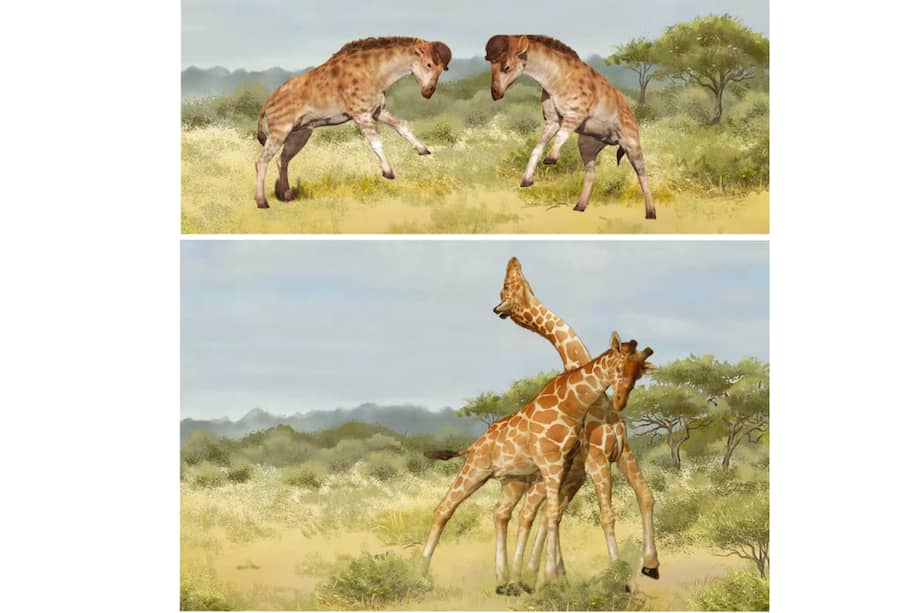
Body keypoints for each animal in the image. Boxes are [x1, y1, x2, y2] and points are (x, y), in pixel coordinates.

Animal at [253, 37, 451, 208]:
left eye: (443, 68)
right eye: (429, 64)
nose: (428, 92)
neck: (375, 73)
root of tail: (267, 104)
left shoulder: (377, 112)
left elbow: (401, 126)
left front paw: (423, 150)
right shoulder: (361, 115)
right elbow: (376, 142)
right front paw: (388, 172)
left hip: (300, 133)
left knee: (282, 160)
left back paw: (287, 196)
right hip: (280, 131)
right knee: (261, 161)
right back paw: (262, 202)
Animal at [420, 330, 655, 584]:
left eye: (639, 373)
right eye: (619, 367)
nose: (620, 401)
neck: (571, 406)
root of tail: (475, 444)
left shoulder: (564, 466)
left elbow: (552, 514)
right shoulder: (554, 463)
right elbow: (553, 513)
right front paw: (552, 574)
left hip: (513, 480)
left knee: (501, 513)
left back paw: (503, 577)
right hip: (476, 469)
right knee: (444, 508)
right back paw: (421, 573)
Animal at [485, 35, 656, 218]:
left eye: (506, 67)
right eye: (490, 65)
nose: (495, 94)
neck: (553, 80)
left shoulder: (575, 114)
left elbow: (561, 135)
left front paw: (551, 158)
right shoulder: (552, 121)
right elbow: (537, 148)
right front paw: (526, 180)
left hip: (631, 143)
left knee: (642, 173)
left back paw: (651, 213)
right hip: (587, 145)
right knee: (591, 173)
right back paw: (579, 206)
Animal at [492, 257, 660, 590]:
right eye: (505, 286)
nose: (513, 261)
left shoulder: (621, 452)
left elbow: (646, 496)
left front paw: (651, 565)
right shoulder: (596, 458)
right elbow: (606, 514)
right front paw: (618, 574)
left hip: (566, 479)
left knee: (541, 514)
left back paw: (537, 574)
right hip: (551, 478)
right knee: (530, 513)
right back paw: (527, 575)